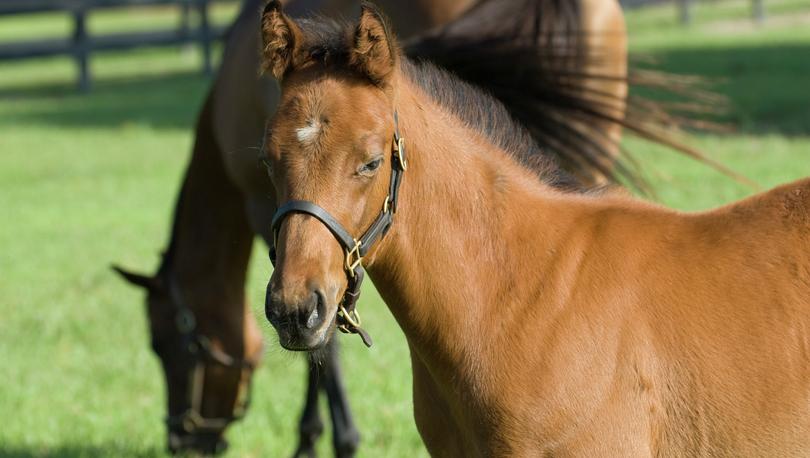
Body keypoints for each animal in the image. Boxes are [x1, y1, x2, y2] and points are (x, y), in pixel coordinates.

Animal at [115, 0, 636, 452]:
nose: (182, 438)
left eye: (164, 344)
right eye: (268, 160)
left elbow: (323, 347)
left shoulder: (266, 221)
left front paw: (320, 440)